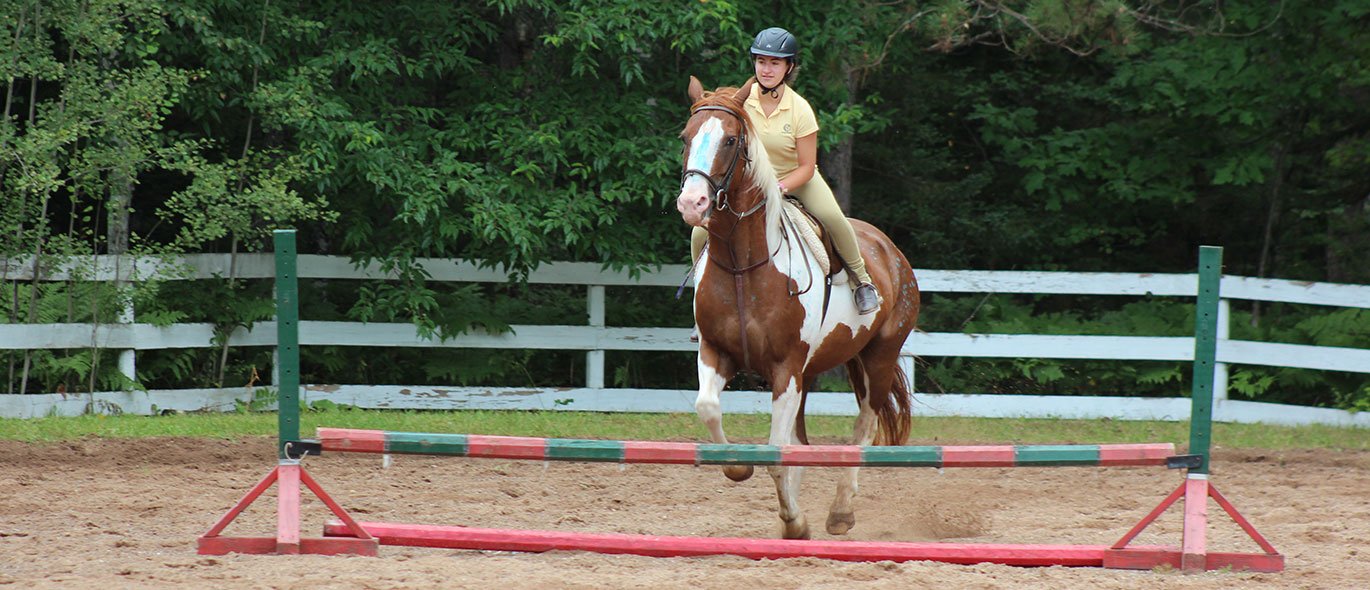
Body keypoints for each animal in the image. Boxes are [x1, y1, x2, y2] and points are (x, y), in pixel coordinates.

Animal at [675, 76, 921, 540]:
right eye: (686, 137)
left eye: (731, 139)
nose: (692, 204)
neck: (743, 266)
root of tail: (890, 249)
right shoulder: (717, 354)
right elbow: (709, 409)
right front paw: (739, 470)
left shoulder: (785, 367)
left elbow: (778, 449)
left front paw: (795, 522)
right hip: (816, 372)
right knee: (804, 441)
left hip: (877, 358)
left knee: (864, 426)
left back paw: (841, 512)